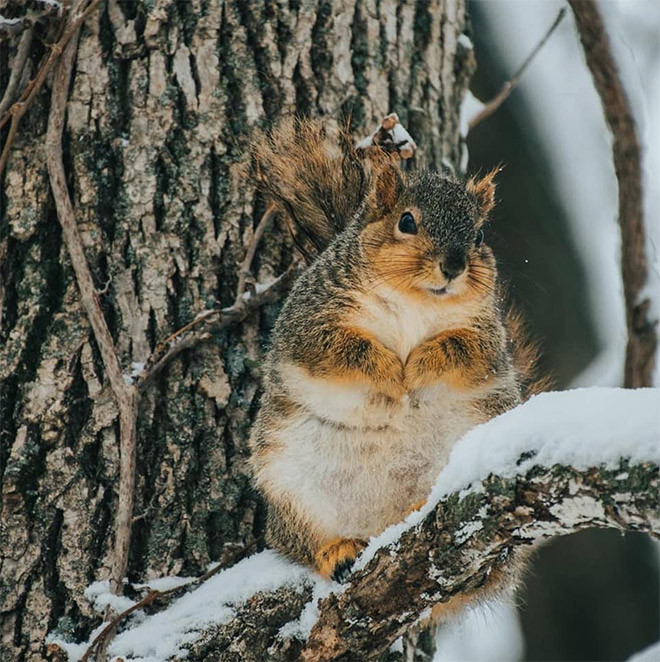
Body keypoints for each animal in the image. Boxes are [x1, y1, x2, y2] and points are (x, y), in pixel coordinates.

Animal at [245, 116, 540, 588]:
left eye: (478, 233)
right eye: (406, 221)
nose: (454, 266)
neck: (416, 301)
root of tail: (378, 524)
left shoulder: (486, 337)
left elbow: (462, 350)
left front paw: (416, 370)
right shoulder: (311, 321)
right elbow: (340, 349)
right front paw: (391, 376)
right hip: (291, 487)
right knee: (297, 540)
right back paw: (336, 551)